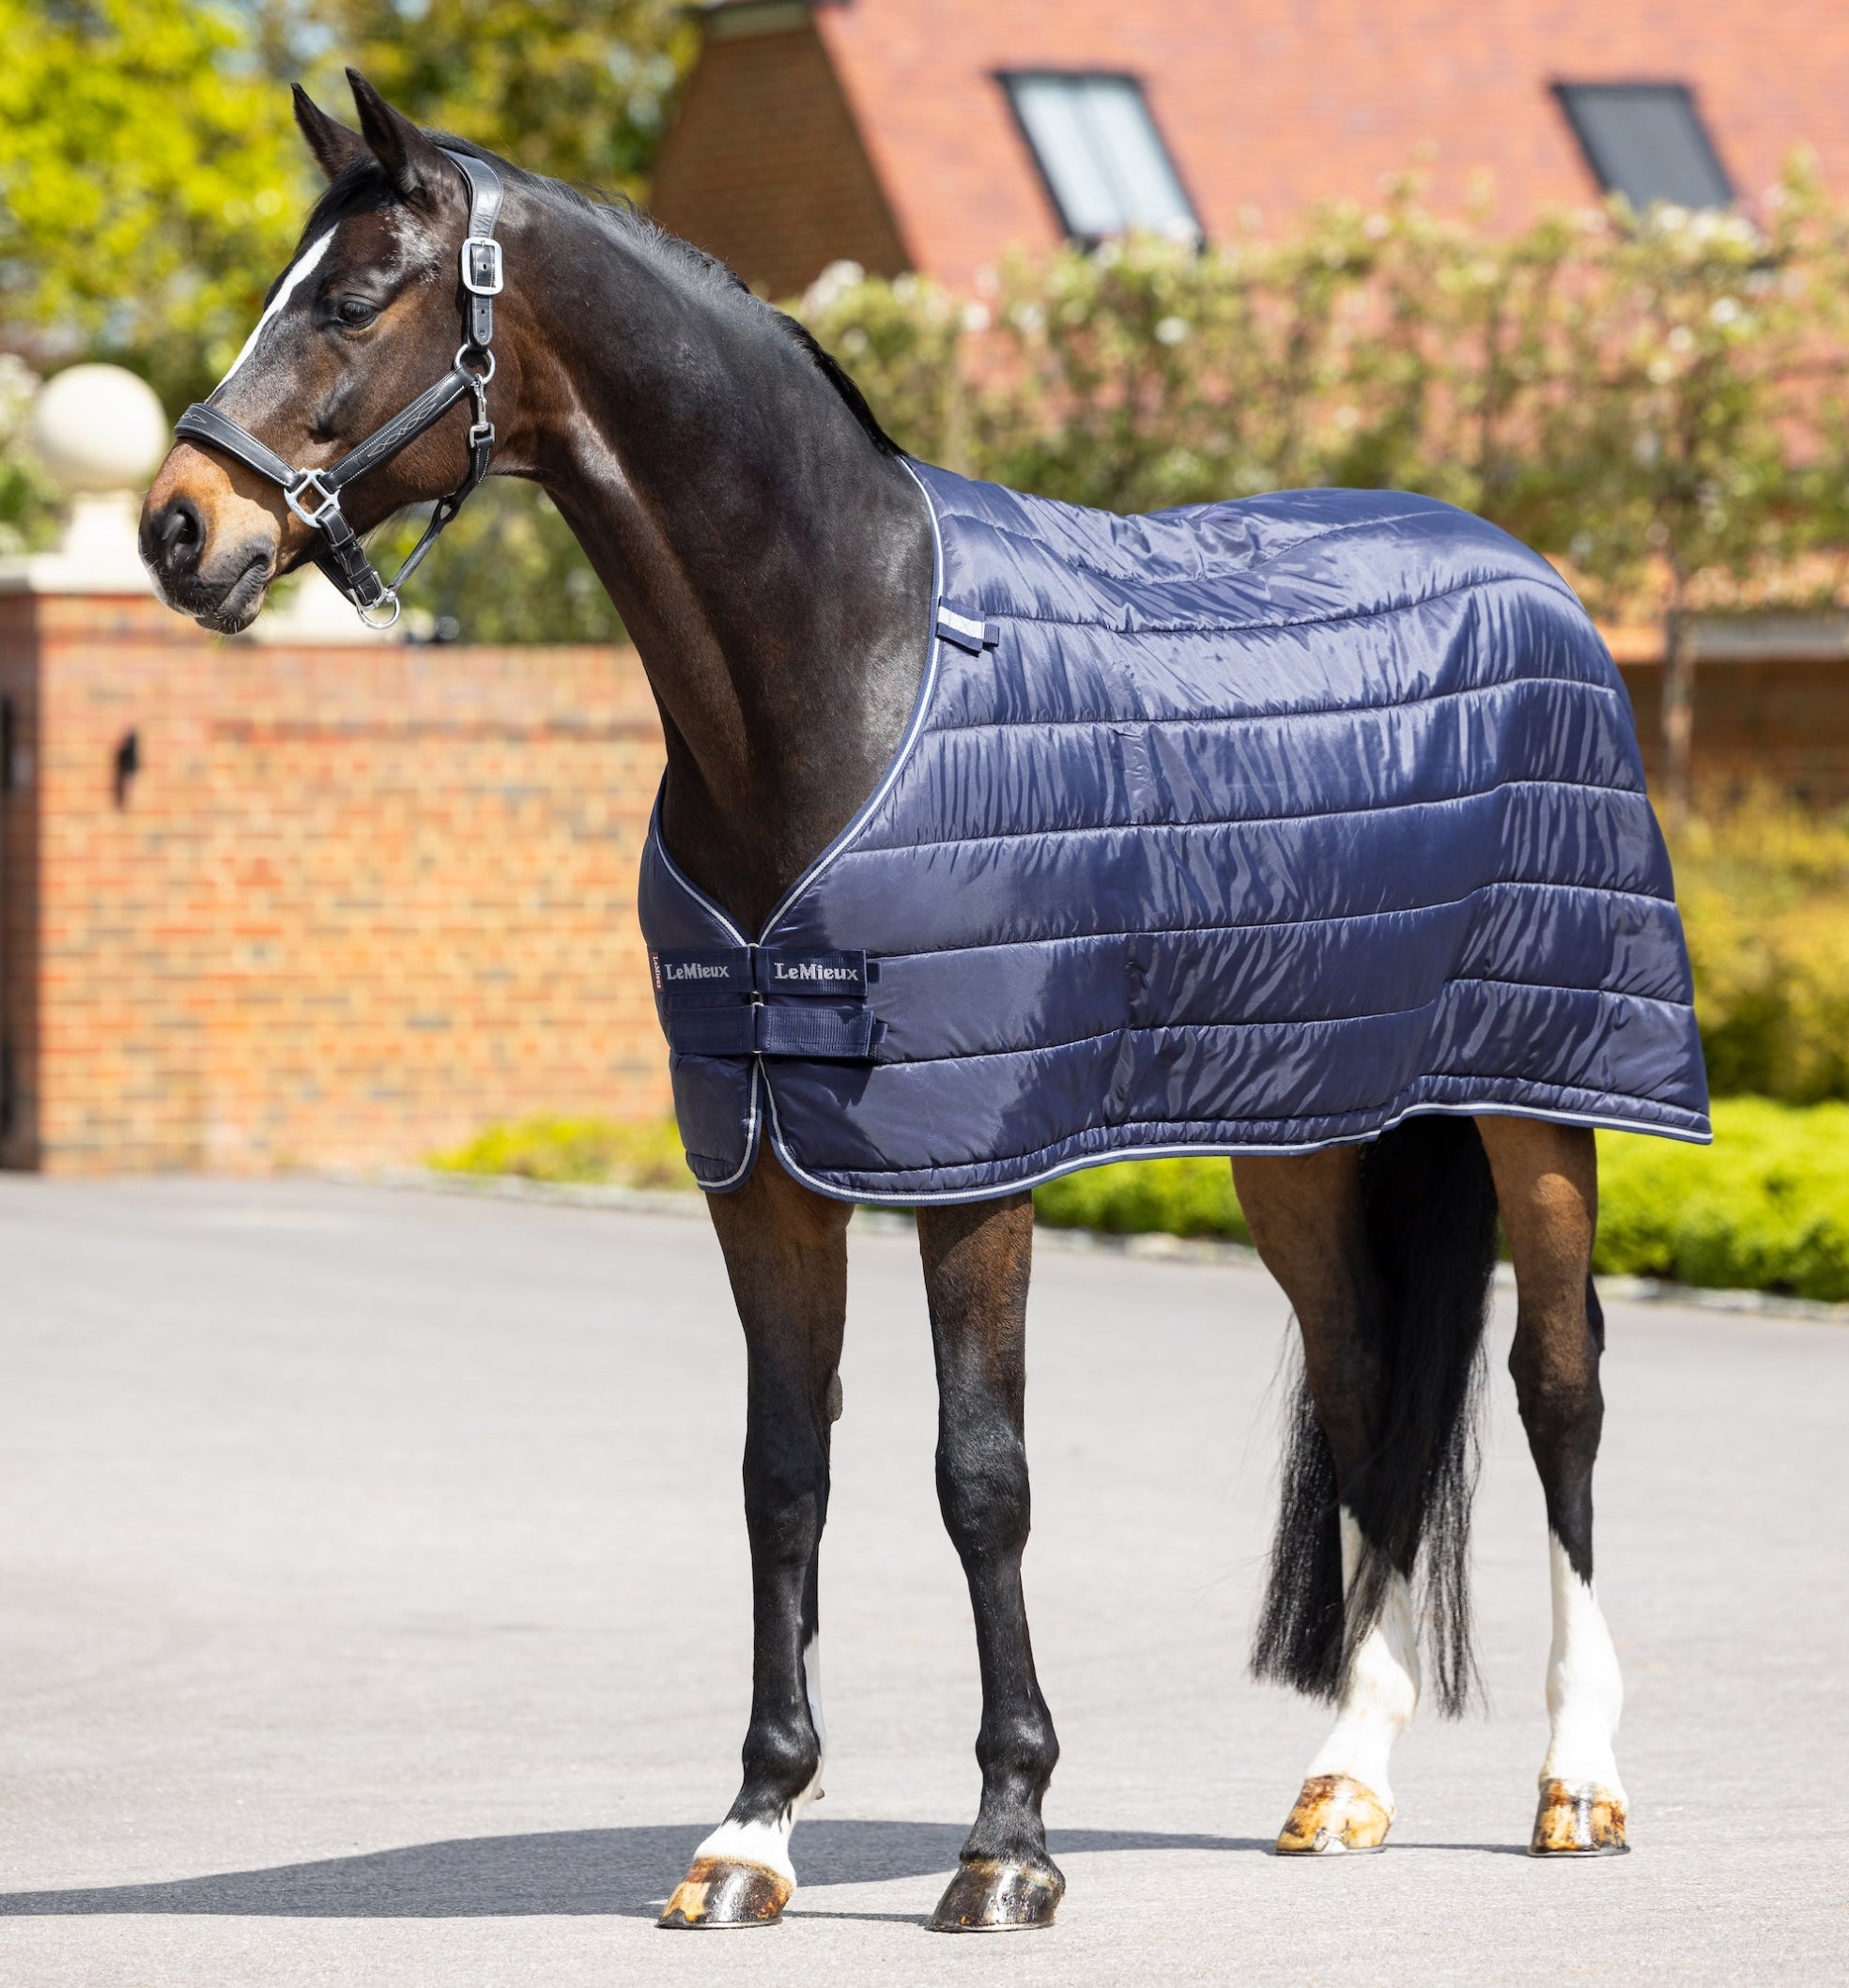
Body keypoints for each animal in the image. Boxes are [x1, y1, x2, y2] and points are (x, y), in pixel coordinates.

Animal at [142, 73, 1704, 1931]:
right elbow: (781, 1473)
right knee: (1365, 1393)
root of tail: (1524, 568)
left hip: (1545, 1095)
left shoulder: (971, 1164)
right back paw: (1344, 1780)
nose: (178, 527)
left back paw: (1577, 1781)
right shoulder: (759, 1160)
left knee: (1558, 1386)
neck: (846, 671)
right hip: (1304, 1133)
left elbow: (981, 1478)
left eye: (356, 297)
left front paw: (1008, 1839)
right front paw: (750, 1831)